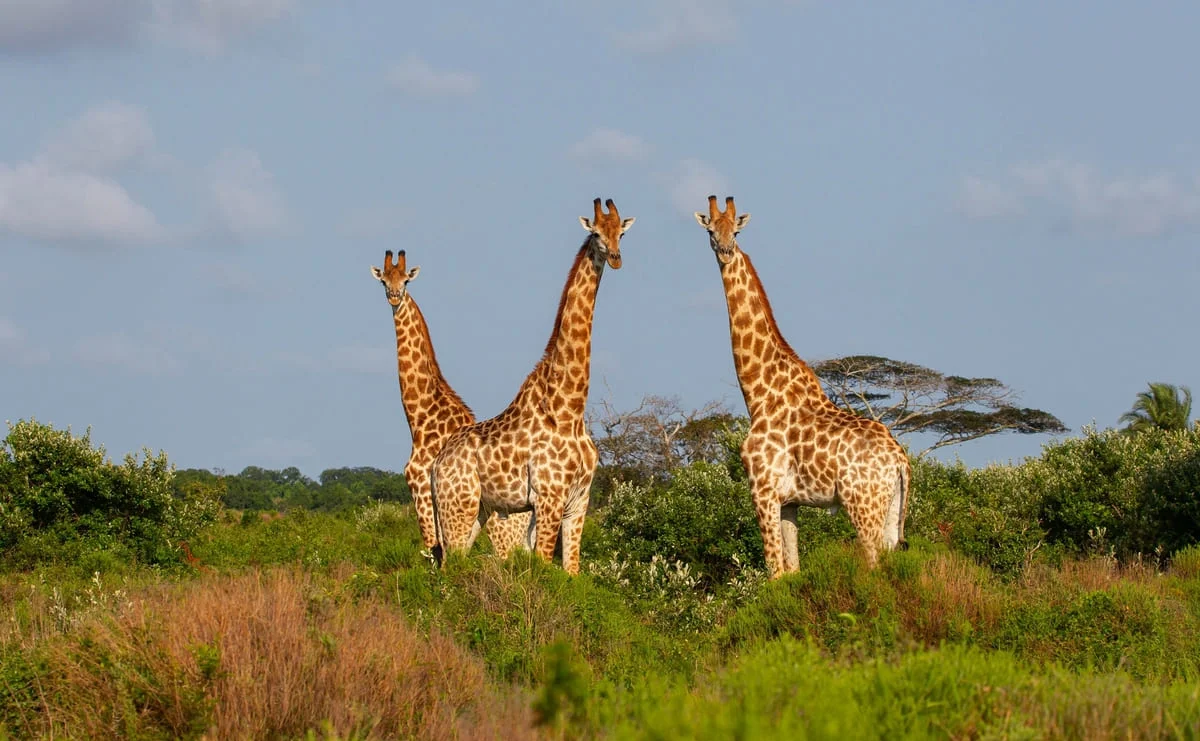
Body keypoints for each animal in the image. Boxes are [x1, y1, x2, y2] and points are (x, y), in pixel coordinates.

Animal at [369, 250, 530, 556]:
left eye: (406, 280)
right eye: (383, 280)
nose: (394, 297)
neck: (421, 415)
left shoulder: (419, 483)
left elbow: (432, 550)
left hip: (502, 529)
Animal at [434, 199, 638, 573]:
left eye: (622, 232)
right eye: (596, 233)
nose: (616, 258)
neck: (570, 408)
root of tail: (437, 463)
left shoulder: (579, 500)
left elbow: (571, 572)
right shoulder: (548, 497)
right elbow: (544, 565)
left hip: (477, 511)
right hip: (458, 506)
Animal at [696, 194, 907, 570]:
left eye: (736, 230)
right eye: (710, 230)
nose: (725, 250)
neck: (759, 392)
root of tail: (900, 459)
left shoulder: (762, 489)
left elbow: (774, 571)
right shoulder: (789, 500)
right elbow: (792, 568)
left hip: (862, 506)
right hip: (891, 513)